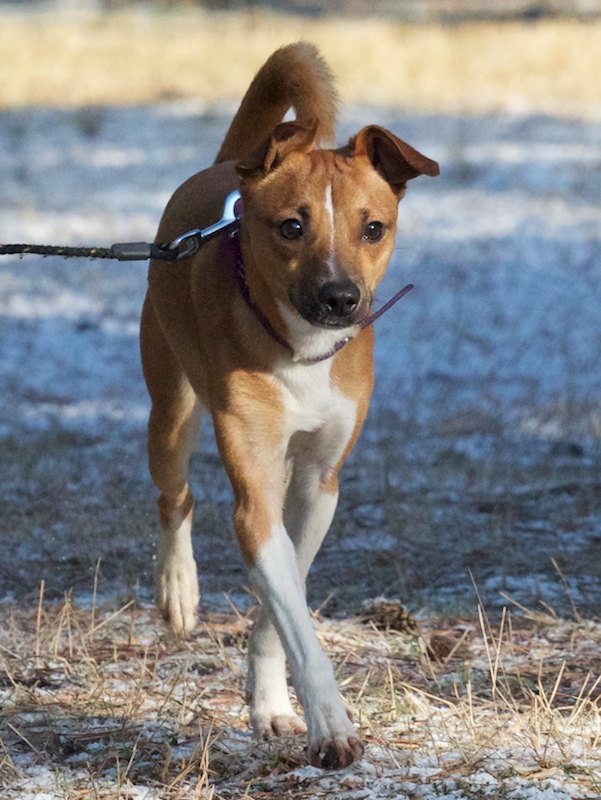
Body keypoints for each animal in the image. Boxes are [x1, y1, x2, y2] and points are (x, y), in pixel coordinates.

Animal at [140, 42, 438, 770]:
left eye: (373, 228)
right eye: (292, 227)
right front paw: (330, 724)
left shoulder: (317, 482)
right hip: (170, 406)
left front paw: (273, 705)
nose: (340, 298)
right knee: (174, 493)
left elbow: (284, 608)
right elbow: (297, 622)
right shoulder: (254, 484)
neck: (301, 353)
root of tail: (229, 164)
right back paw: (178, 589)